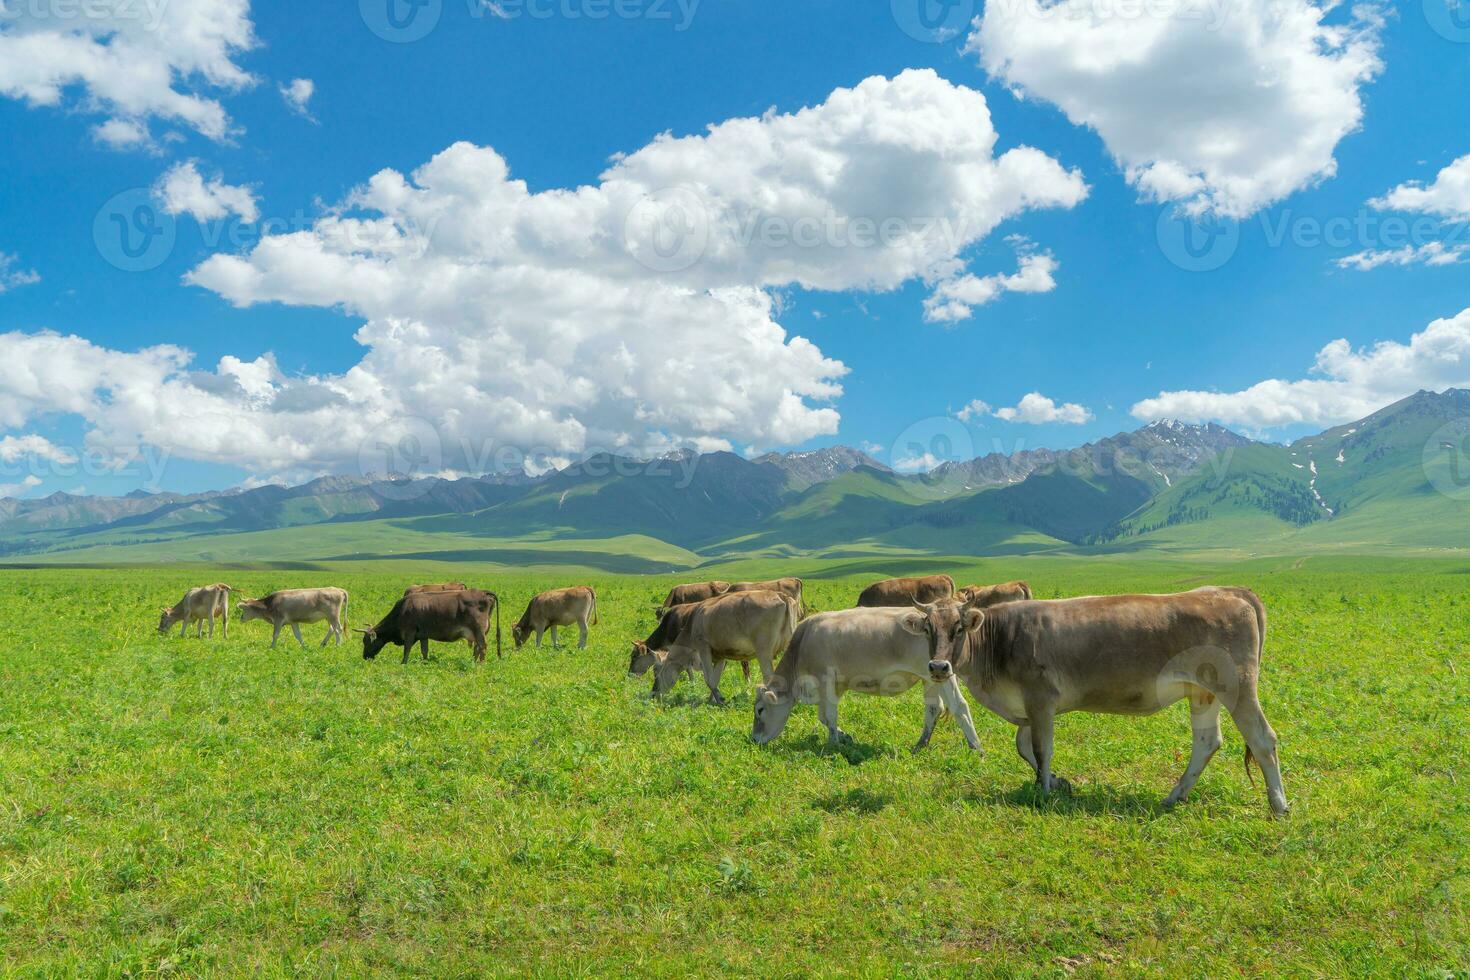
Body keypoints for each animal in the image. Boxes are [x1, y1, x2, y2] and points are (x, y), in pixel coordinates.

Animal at [355, 590, 499, 667]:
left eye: (367, 641)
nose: (364, 656)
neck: (402, 610)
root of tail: (483, 593)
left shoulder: (409, 633)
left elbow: (407, 649)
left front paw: (403, 663)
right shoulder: (423, 635)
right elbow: (424, 650)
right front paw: (425, 662)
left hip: (479, 630)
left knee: (482, 647)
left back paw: (481, 664)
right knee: (477, 648)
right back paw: (473, 662)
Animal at [649, 590, 799, 705]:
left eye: (656, 670)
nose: (653, 693)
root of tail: (780, 595)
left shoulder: (703, 648)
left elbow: (709, 679)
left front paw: (719, 700)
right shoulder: (720, 656)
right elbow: (715, 679)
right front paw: (711, 700)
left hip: (763, 651)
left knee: (771, 678)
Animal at [752, 605, 981, 752]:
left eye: (760, 710)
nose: (754, 739)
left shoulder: (825, 679)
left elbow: (830, 717)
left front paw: (833, 744)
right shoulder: (833, 686)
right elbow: (824, 717)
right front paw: (845, 737)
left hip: (942, 674)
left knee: (960, 706)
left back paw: (976, 748)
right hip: (931, 678)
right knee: (934, 709)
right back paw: (920, 745)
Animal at [923, 587, 1293, 816]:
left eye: (959, 628)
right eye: (927, 628)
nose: (939, 667)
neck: (1000, 640)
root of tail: (1229, 590)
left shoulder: (1040, 698)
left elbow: (1042, 749)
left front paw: (1044, 792)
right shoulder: (1028, 710)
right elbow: (1024, 747)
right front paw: (1056, 782)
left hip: (1237, 687)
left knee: (1262, 739)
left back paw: (1279, 805)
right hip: (1203, 692)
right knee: (1207, 741)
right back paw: (1175, 796)